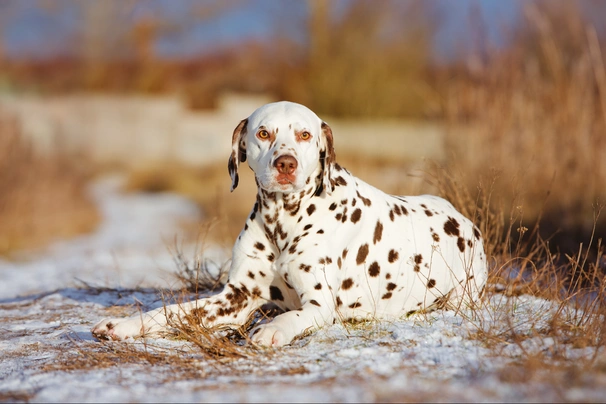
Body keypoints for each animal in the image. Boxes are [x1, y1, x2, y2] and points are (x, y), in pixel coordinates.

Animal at [91, 101, 490, 348]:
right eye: (263, 133)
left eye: (304, 135)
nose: (285, 163)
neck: (282, 220)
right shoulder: (235, 298)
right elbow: (172, 311)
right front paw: (123, 325)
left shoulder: (319, 305)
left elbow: (293, 318)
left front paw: (272, 332)